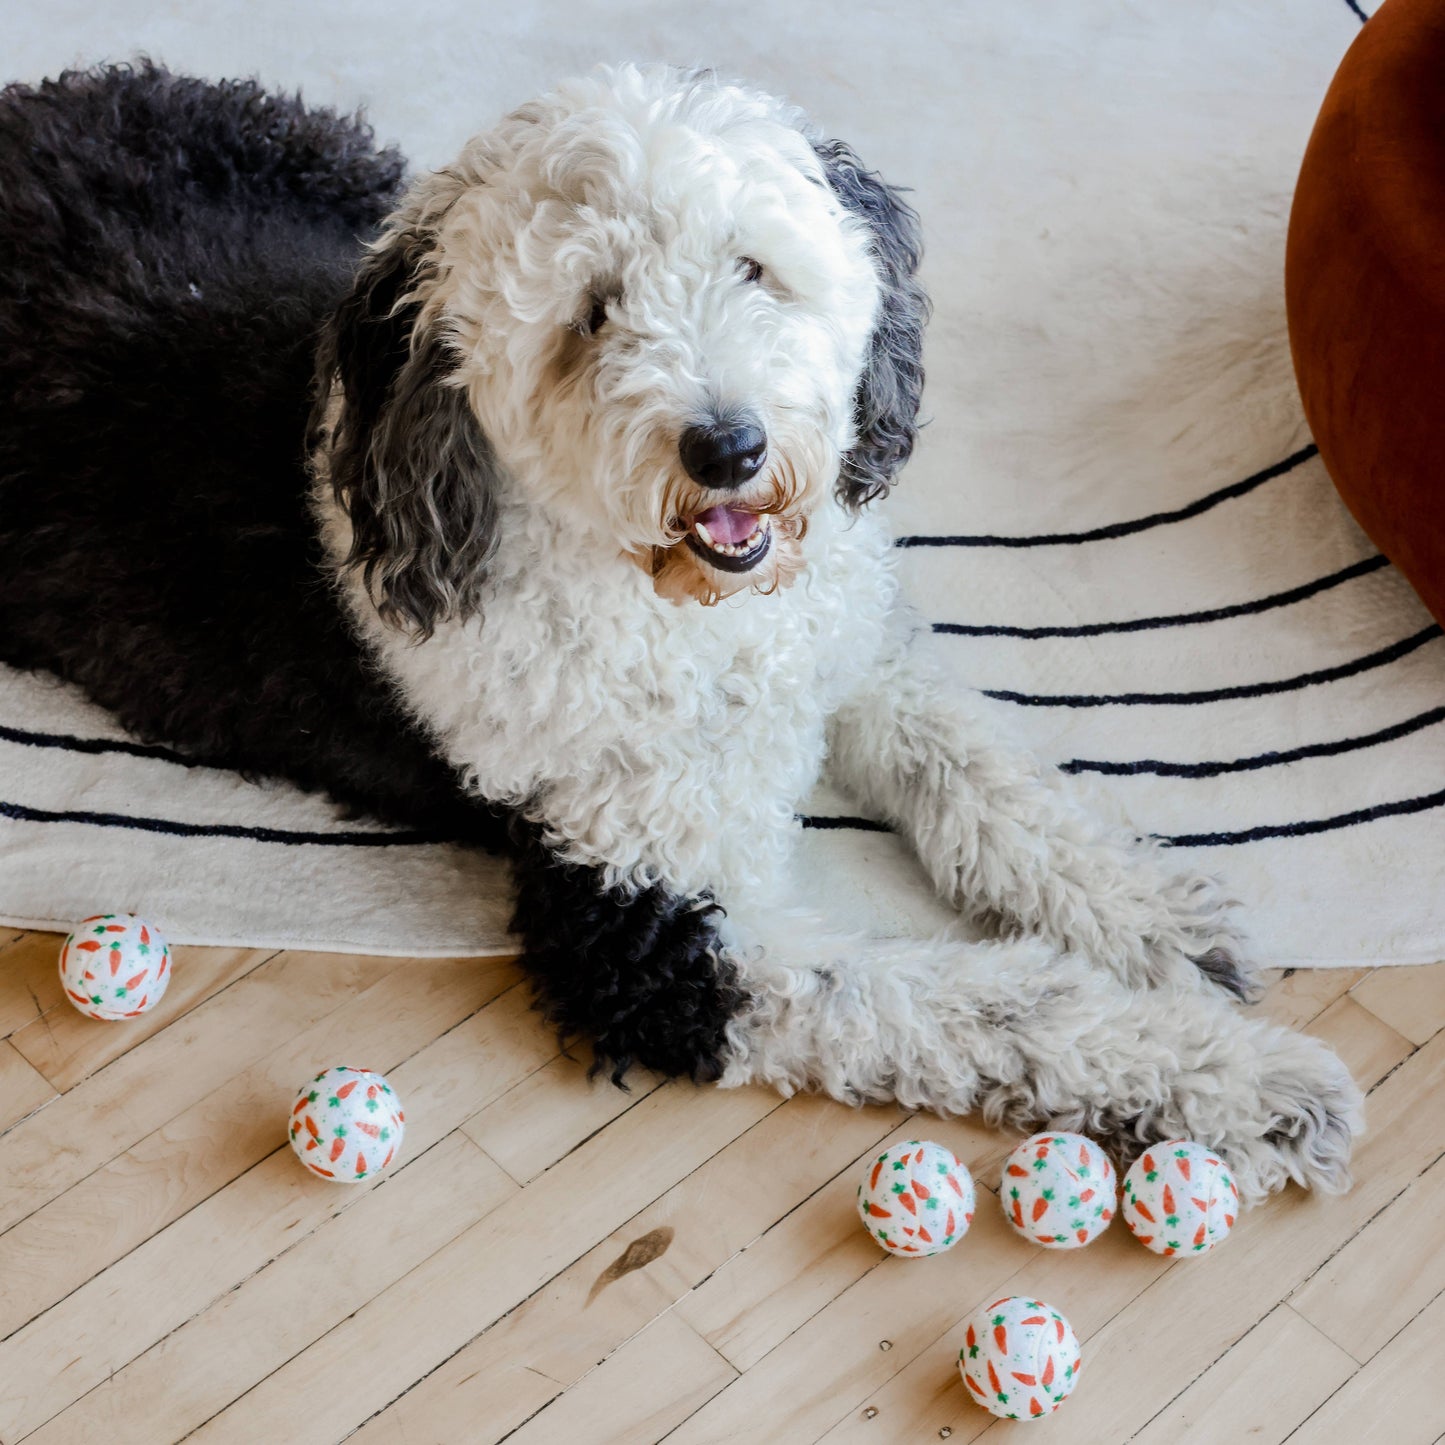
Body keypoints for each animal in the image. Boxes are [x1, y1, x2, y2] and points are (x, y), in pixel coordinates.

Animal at [0, 62, 1358, 1202]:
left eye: (753, 266)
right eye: (590, 313)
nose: (728, 447)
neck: (689, 617)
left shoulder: (847, 649)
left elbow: (990, 779)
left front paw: (1155, 918)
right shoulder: (641, 928)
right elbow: (951, 1002)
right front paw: (1238, 1080)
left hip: (342, 172)